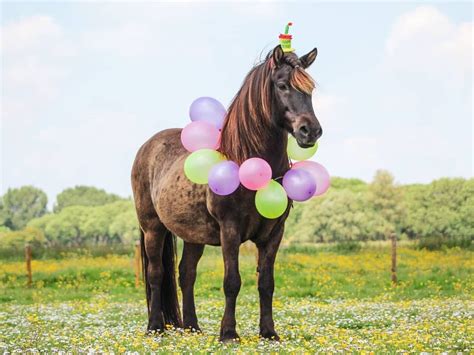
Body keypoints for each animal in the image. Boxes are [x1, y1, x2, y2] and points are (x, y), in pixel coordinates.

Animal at [131, 44, 322, 342]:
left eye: (310, 89)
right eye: (282, 85)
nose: (310, 131)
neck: (247, 160)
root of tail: (147, 147)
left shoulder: (274, 233)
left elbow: (266, 283)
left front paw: (269, 332)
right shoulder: (230, 229)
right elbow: (232, 281)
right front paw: (229, 333)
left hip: (193, 235)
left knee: (186, 274)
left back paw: (192, 327)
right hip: (152, 228)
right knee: (155, 273)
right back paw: (155, 327)